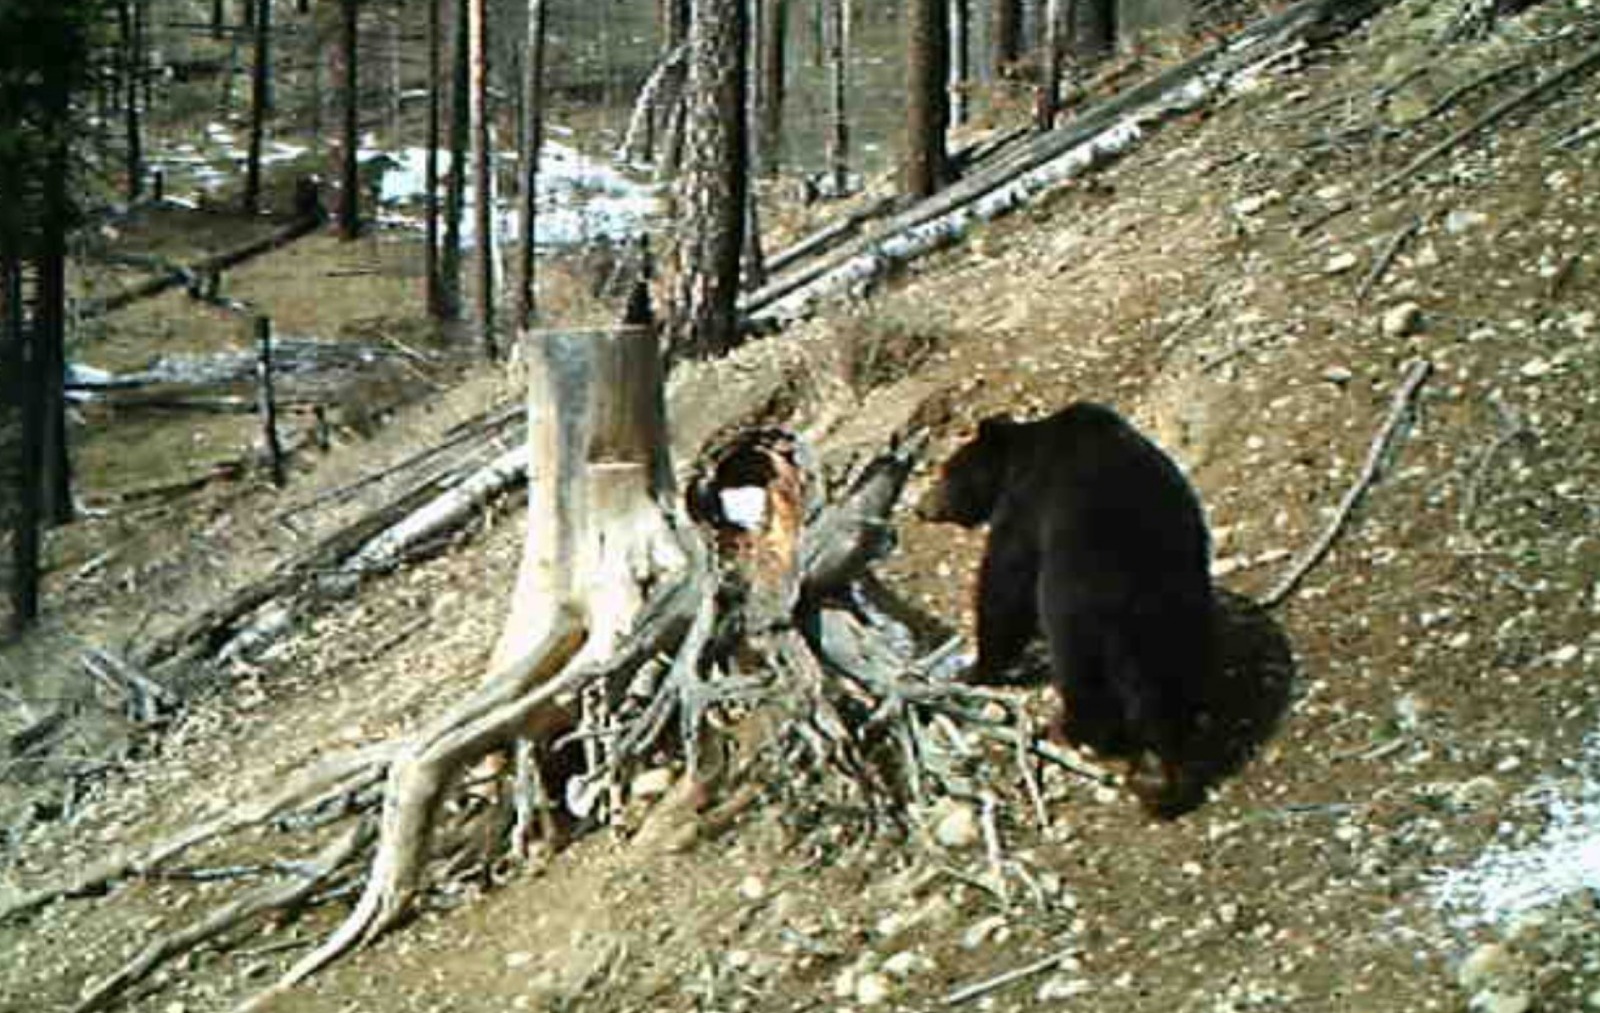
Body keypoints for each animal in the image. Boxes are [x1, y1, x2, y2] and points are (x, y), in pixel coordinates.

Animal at [928, 401, 1209, 812]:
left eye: (947, 471)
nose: (923, 507)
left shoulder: (1027, 504)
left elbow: (1005, 583)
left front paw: (976, 670)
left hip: (1080, 625)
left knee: (1086, 686)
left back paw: (1072, 732)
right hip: (1178, 623)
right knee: (1170, 692)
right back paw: (1169, 772)